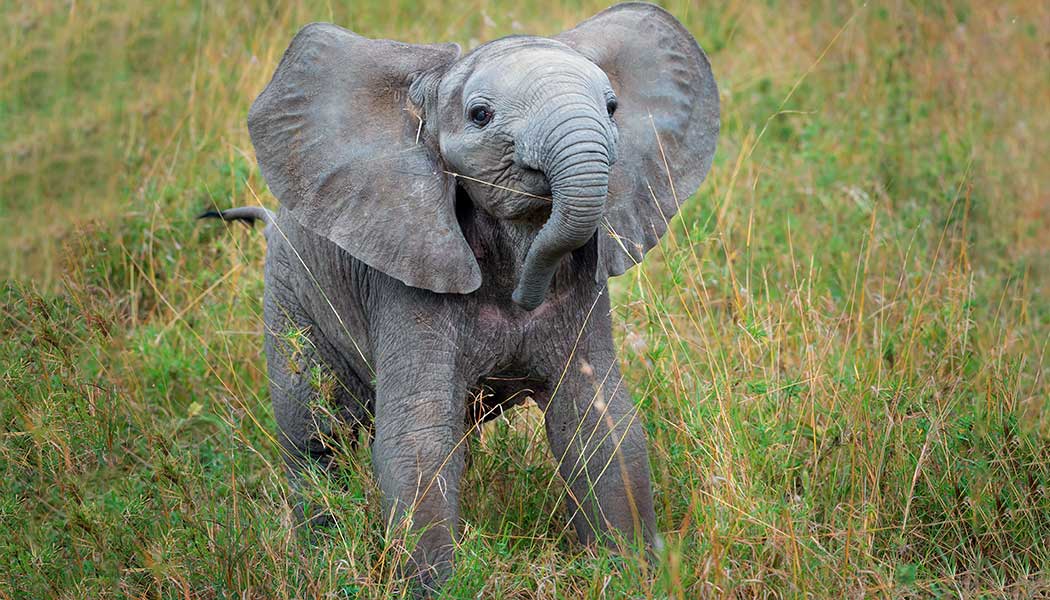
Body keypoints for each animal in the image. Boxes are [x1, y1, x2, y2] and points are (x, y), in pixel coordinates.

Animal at [202, 2, 718, 592]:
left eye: (613, 108)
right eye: (480, 115)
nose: (525, 296)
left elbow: (600, 422)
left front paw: (632, 577)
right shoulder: (406, 273)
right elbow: (419, 440)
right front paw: (439, 588)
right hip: (290, 296)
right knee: (315, 438)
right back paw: (319, 556)